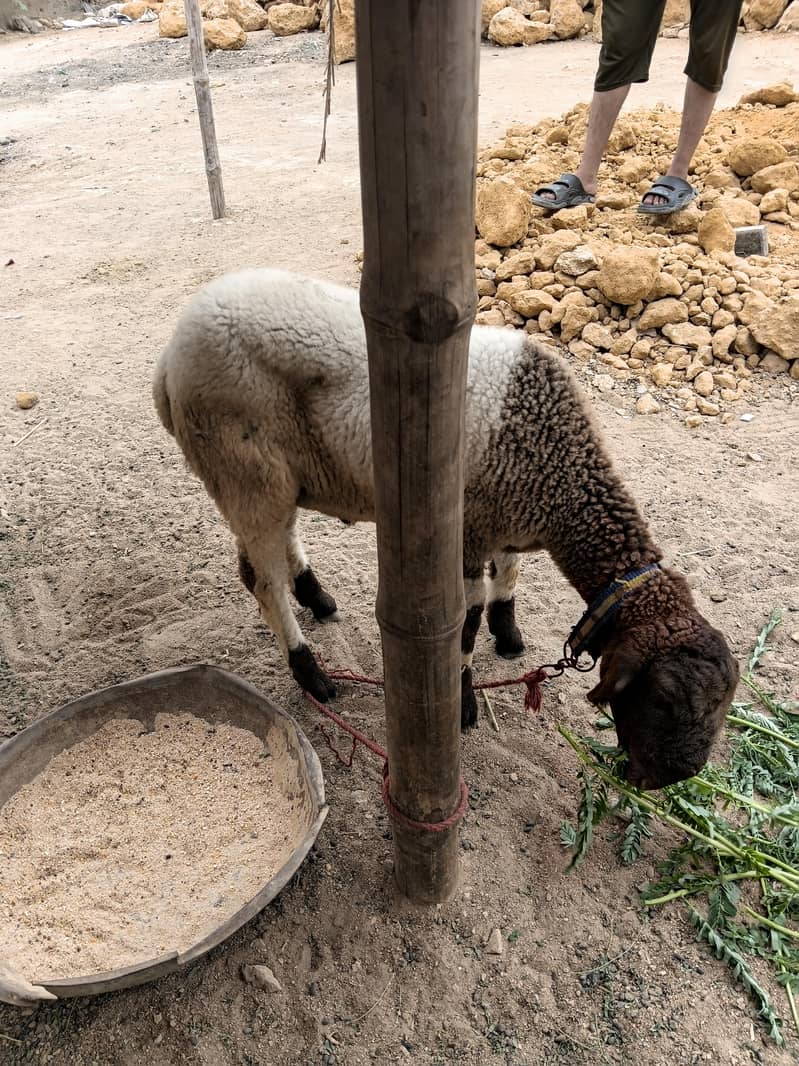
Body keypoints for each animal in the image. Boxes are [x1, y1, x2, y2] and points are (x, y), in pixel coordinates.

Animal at [153, 268, 739, 790]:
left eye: (723, 703)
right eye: (662, 699)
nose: (675, 777)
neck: (559, 470)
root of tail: (168, 361)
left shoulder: (500, 518)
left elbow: (509, 577)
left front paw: (509, 636)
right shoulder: (468, 535)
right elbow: (465, 623)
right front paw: (463, 703)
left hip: (271, 475)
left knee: (279, 547)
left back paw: (316, 597)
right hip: (245, 468)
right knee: (261, 579)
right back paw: (311, 673)